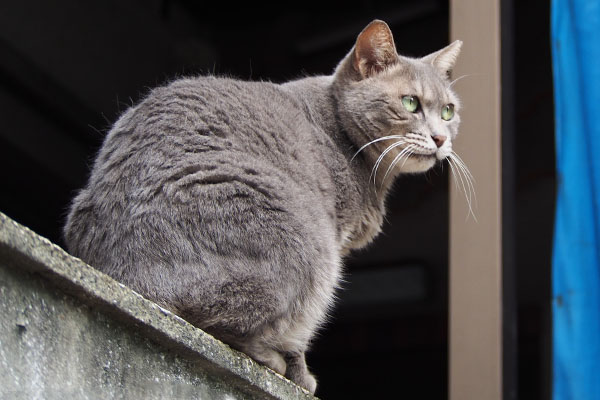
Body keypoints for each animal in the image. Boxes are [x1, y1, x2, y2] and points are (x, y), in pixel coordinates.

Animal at [63, 20, 464, 392]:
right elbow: (301, 336)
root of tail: (121, 271)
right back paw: (273, 360)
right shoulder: (332, 236)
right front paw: (301, 376)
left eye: (448, 111)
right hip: (307, 244)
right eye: (410, 103)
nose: (440, 138)